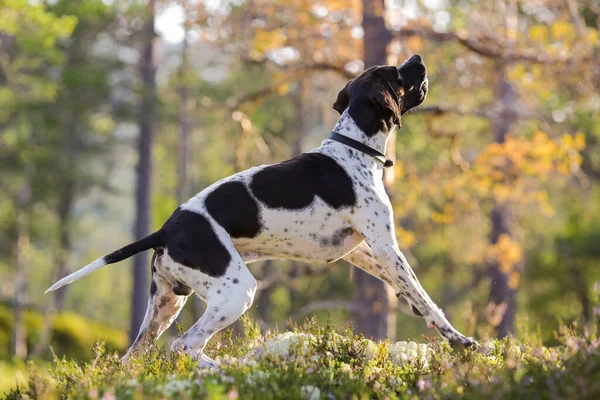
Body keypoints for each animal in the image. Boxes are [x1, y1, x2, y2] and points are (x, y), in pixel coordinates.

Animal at [47, 54, 476, 368]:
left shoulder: (361, 252)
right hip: (237, 292)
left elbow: (408, 293)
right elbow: (425, 297)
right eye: (394, 74)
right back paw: (237, 371)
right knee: (185, 347)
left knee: (133, 359)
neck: (354, 148)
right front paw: (462, 342)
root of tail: (166, 229)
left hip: (166, 304)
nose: (417, 57)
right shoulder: (387, 246)